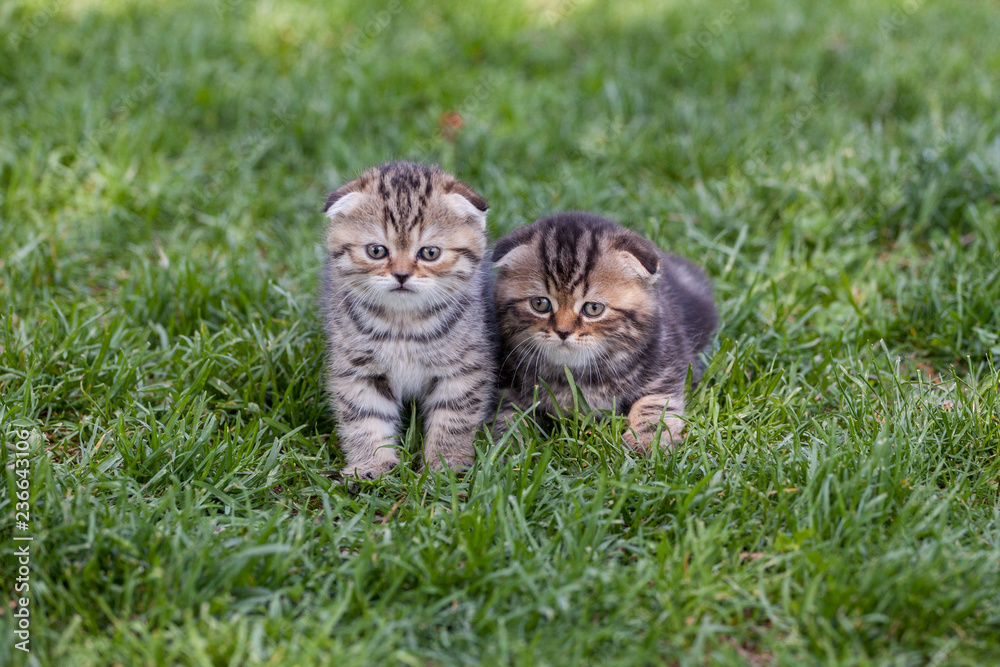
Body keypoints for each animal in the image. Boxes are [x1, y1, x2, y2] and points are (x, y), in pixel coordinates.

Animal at [320, 164, 496, 482]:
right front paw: (372, 464)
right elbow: (366, 416)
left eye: (430, 253)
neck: (403, 325)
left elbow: (453, 418)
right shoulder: (358, 369)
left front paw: (445, 465)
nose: (401, 275)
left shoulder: (463, 369)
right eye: (376, 251)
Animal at [494, 213, 720, 454]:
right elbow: (507, 414)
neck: (578, 373)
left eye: (593, 308)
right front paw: (508, 448)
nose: (563, 331)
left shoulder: (665, 368)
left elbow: (654, 407)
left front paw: (645, 443)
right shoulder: (506, 382)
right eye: (540, 304)